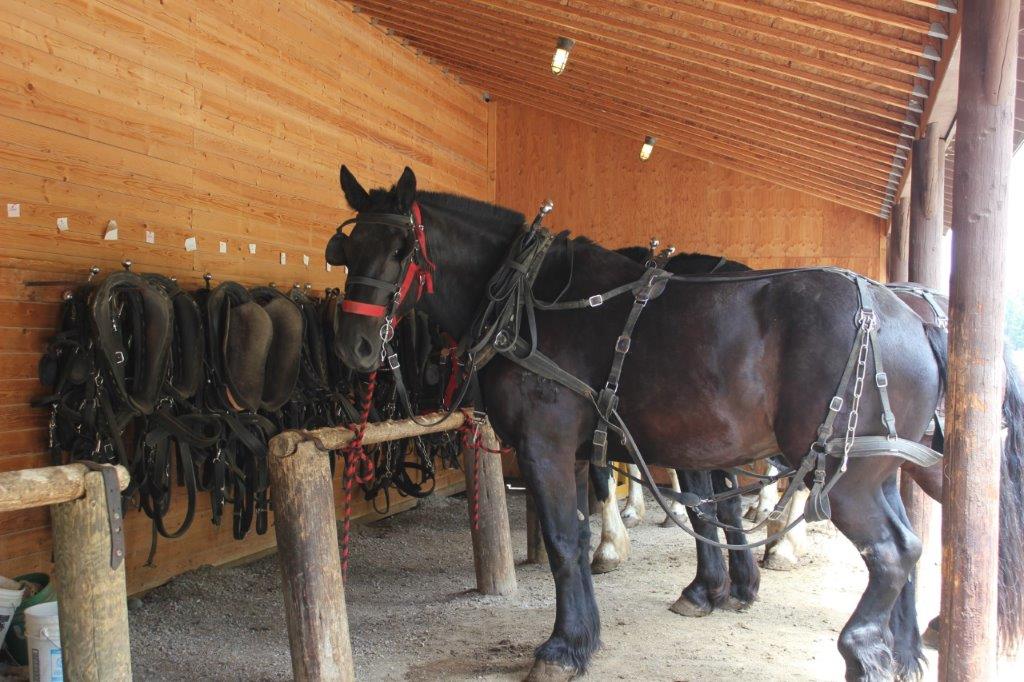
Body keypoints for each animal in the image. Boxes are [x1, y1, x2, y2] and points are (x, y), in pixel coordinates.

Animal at [331, 165, 946, 679]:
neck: (526, 297)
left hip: (843, 474)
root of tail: (905, 315)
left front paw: (563, 647)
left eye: (401, 249)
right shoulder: (582, 450)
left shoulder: (545, 445)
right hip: (877, 469)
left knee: (891, 552)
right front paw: (590, 634)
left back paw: (861, 647)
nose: (355, 344)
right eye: (347, 249)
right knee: (911, 547)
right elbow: (586, 531)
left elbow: (564, 538)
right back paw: (901, 649)